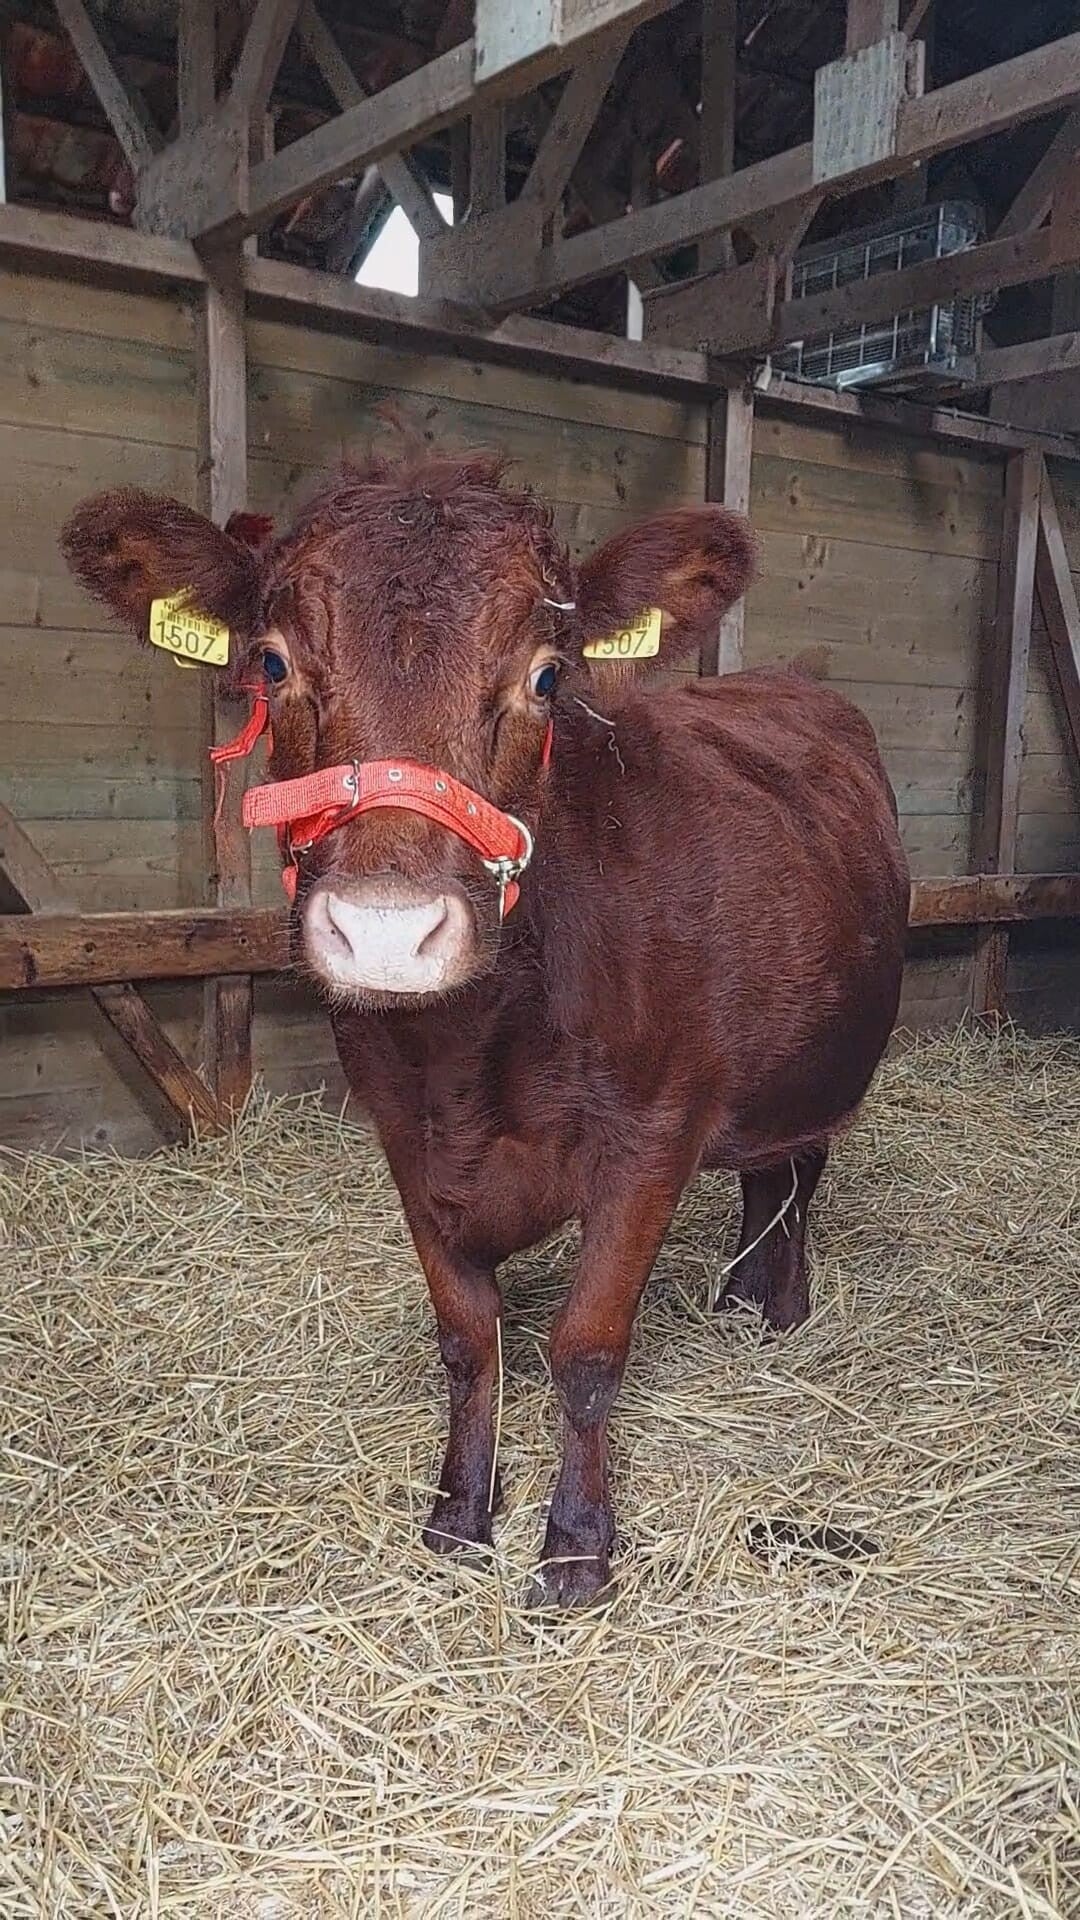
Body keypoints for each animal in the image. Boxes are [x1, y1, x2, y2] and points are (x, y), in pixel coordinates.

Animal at [61, 453, 910, 1609]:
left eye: (547, 679)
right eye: (273, 663)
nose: (386, 930)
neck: (473, 1059)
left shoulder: (653, 1134)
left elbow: (588, 1348)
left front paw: (578, 1547)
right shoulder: (405, 1138)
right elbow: (468, 1341)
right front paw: (460, 1513)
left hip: (816, 1060)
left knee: (800, 1166)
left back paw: (776, 1304)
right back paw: (740, 1297)